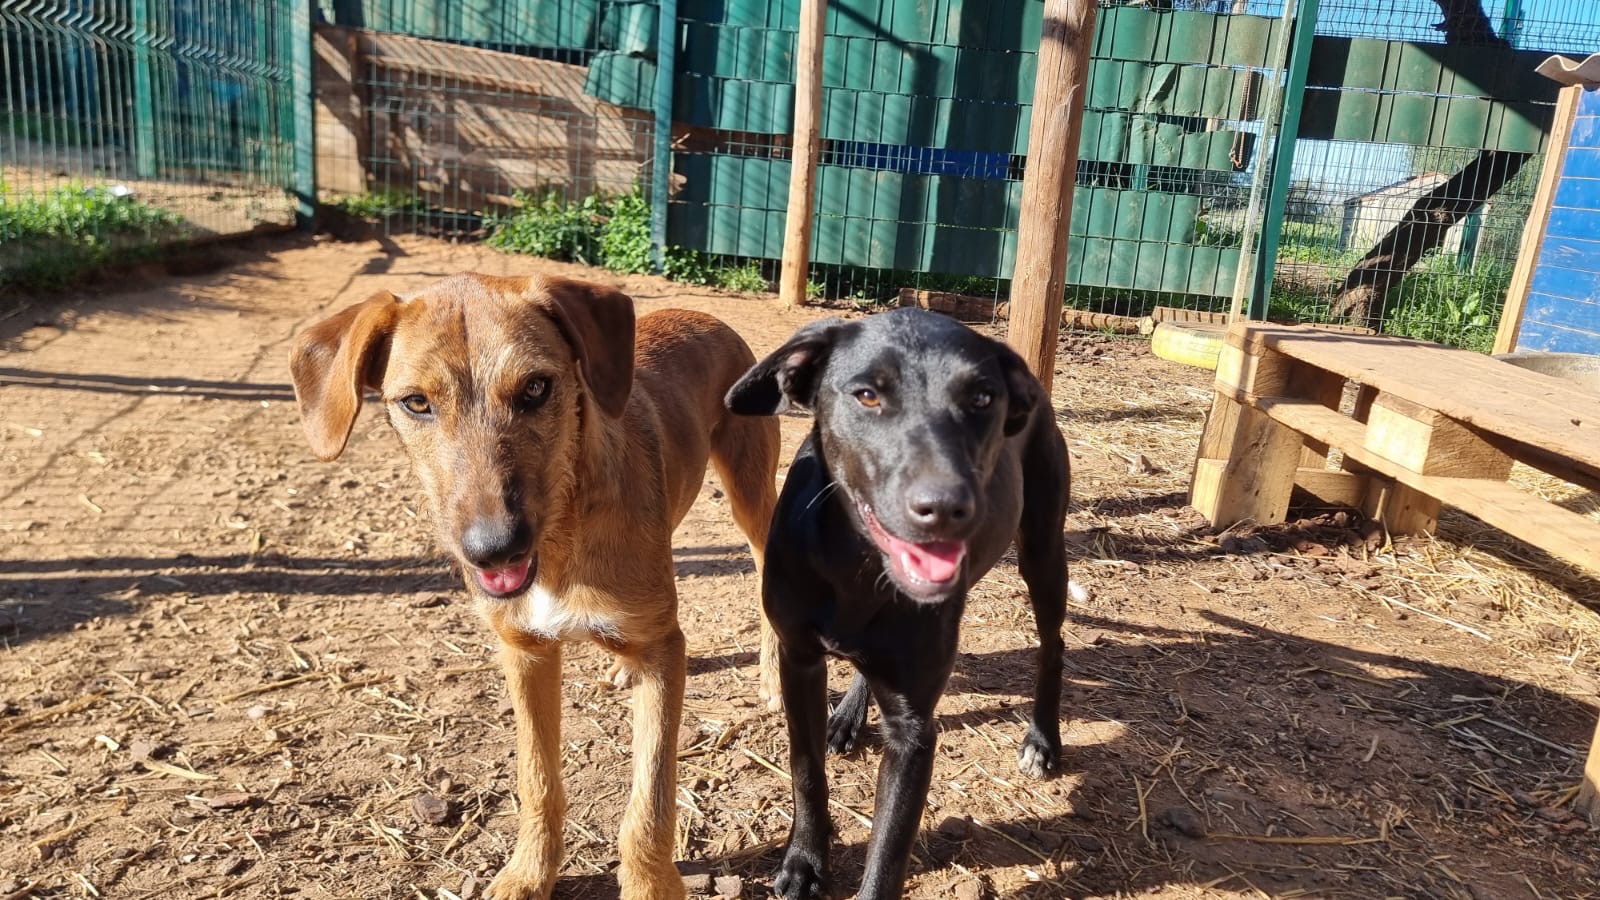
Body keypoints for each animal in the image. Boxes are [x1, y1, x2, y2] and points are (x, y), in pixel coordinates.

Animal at [288, 273, 781, 900]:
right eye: (416, 403)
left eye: (536, 388)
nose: (494, 548)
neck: (561, 540)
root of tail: (707, 315)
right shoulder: (523, 652)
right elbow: (537, 779)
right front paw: (528, 873)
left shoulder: (664, 650)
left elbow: (650, 802)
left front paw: (650, 884)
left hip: (751, 495)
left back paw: (771, 677)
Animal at [725, 308, 1070, 900]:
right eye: (867, 395)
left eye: (983, 398)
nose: (948, 507)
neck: (857, 570)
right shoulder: (798, 660)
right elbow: (805, 771)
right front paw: (804, 862)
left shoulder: (914, 731)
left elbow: (888, 850)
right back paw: (848, 716)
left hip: (1044, 552)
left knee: (1053, 645)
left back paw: (1042, 740)